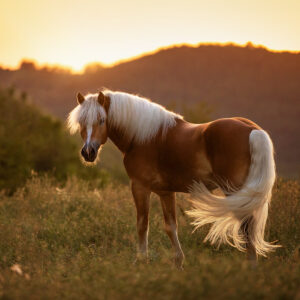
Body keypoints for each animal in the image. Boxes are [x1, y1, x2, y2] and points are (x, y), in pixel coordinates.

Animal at [67, 89, 278, 268]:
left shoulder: (140, 187)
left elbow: (142, 225)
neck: (141, 137)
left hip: (235, 192)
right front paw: (178, 263)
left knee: (246, 229)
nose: (88, 152)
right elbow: (170, 227)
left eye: (102, 120)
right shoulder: (165, 192)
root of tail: (252, 130)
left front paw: (140, 261)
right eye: (81, 122)